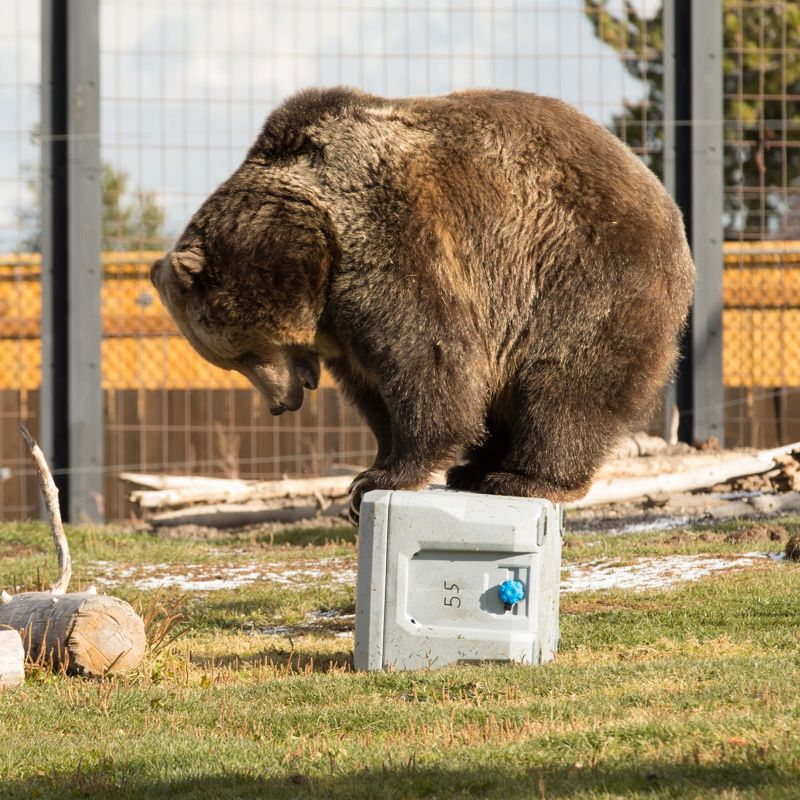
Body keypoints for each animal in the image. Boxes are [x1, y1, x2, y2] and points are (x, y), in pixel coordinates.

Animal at [148, 89, 692, 524]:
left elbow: (430, 357)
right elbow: (373, 390)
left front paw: (379, 478)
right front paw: (374, 466)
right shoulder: (343, 327)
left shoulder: (392, 242)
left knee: (564, 385)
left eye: (238, 354)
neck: (319, 245)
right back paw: (477, 468)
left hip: (581, 277)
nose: (284, 403)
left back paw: (524, 477)